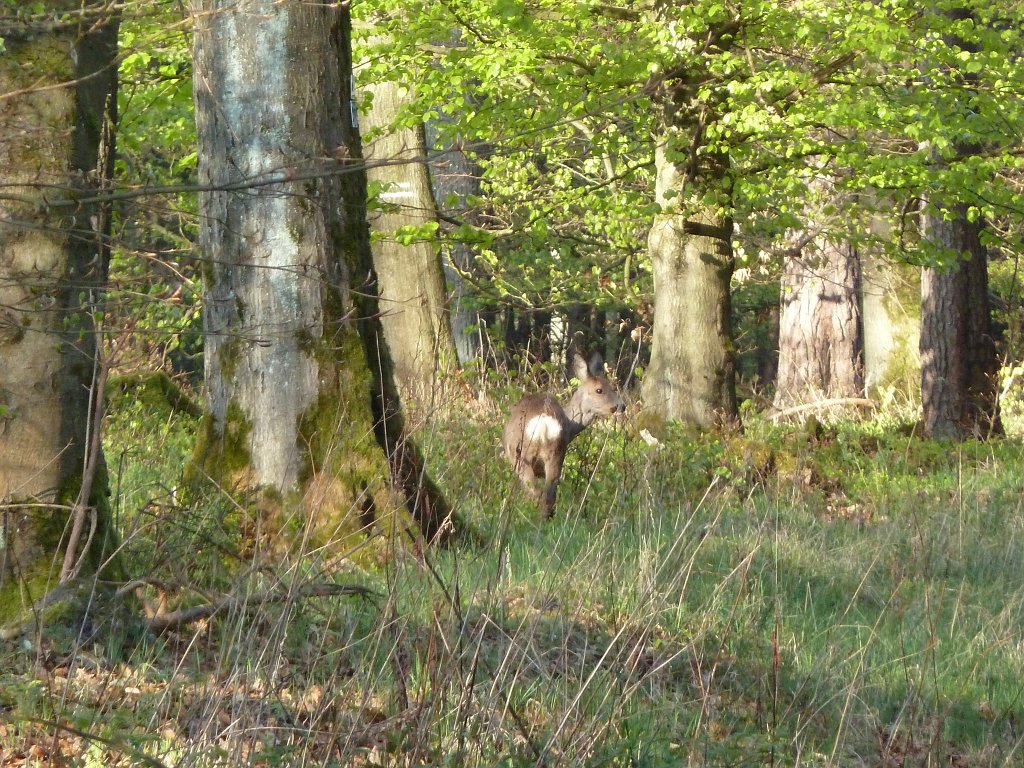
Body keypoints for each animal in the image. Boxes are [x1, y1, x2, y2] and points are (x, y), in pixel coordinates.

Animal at [503, 352, 625, 517]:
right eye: (599, 389)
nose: (621, 406)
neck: (570, 422)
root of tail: (544, 422)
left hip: (522, 455)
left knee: (537, 493)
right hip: (557, 453)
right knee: (549, 495)